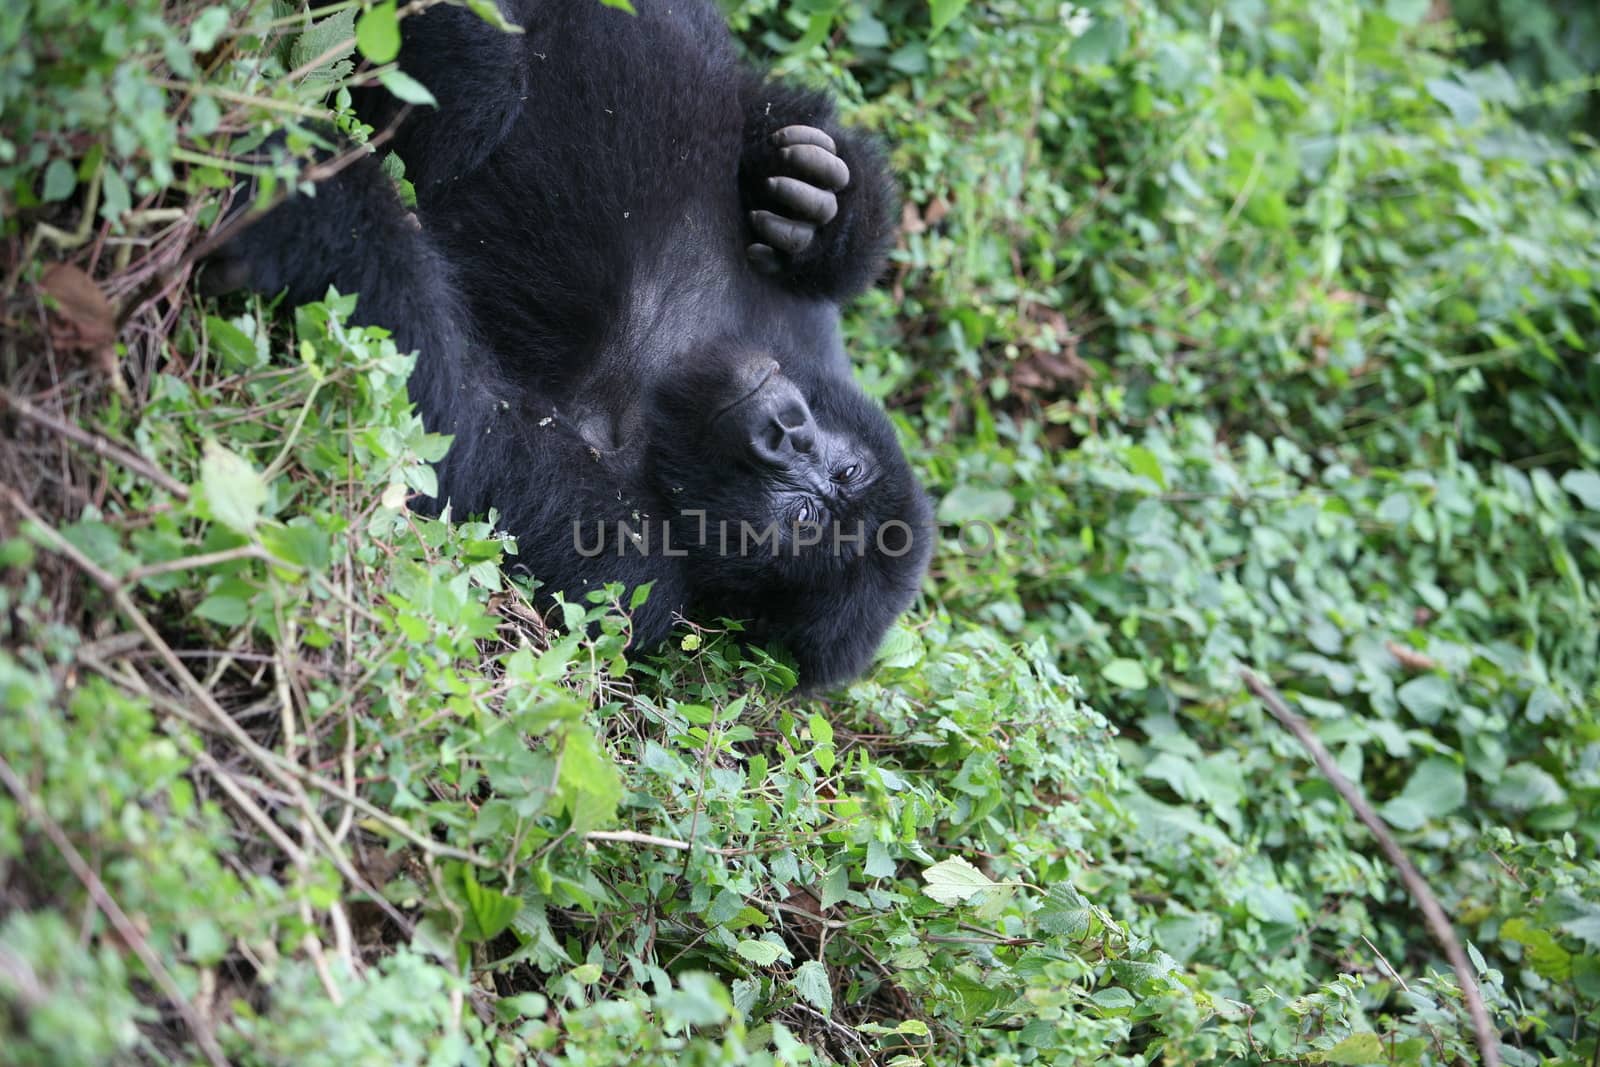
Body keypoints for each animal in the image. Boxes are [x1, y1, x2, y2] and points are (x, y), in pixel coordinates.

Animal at [212, 0, 934, 687]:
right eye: (846, 472)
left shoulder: (627, 568)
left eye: (806, 520)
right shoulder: (812, 339)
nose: (785, 429)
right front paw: (821, 199)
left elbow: (445, 422)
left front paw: (321, 209)